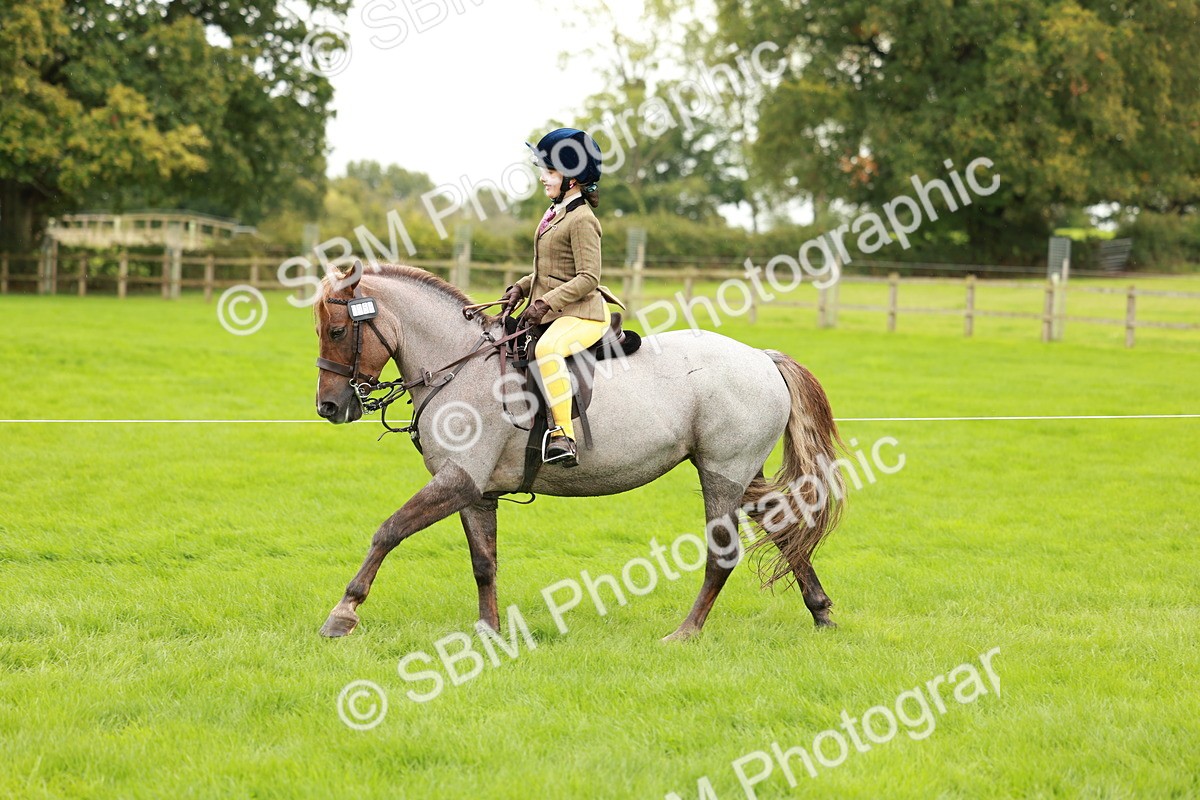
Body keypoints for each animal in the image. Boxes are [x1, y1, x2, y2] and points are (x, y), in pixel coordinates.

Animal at [313, 263, 846, 641]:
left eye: (336, 331)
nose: (329, 407)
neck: (460, 366)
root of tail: (761, 358)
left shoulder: (457, 480)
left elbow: (388, 531)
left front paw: (342, 614)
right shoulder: (474, 491)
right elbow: (484, 563)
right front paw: (488, 632)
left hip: (722, 473)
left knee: (723, 554)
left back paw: (685, 633)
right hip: (743, 473)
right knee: (783, 527)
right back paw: (821, 613)